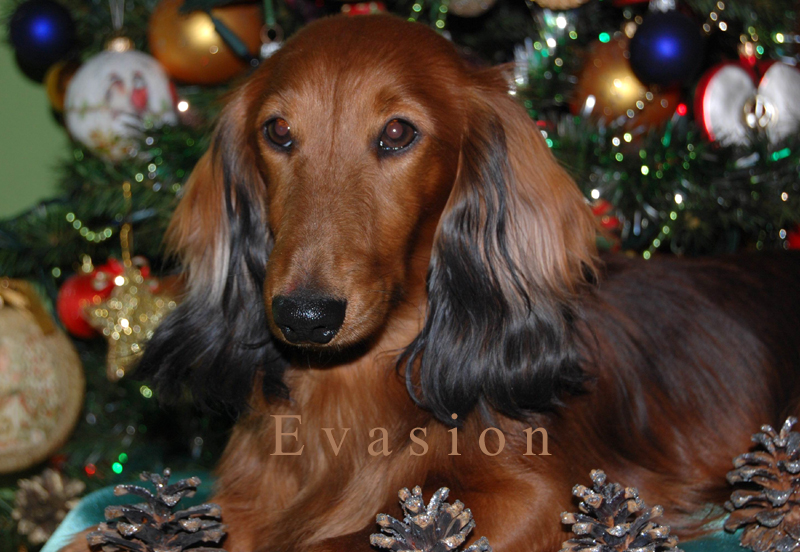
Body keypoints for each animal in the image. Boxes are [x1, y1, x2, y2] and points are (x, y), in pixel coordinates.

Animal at [66, 14, 800, 552]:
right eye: (277, 131)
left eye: (397, 133)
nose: (304, 317)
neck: (353, 388)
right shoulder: (250, 491)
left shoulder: (532, 496)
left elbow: (340, 539)